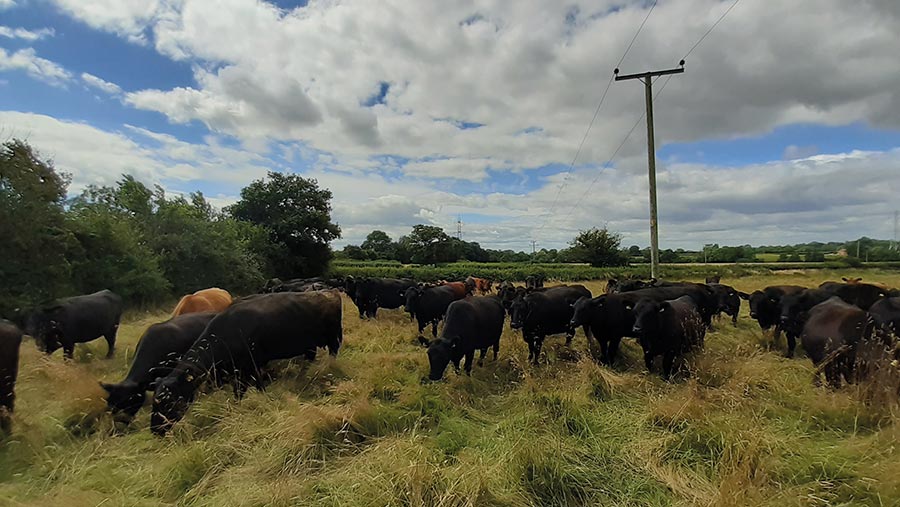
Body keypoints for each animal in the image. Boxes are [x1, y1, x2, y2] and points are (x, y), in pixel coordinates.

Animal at [151, 290, 342, 436]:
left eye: (166, 401)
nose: (155, 429)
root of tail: (329, 292)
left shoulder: (250, 366)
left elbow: (248, 389)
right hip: (310, 345)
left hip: (334, 338)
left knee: (332, 354)